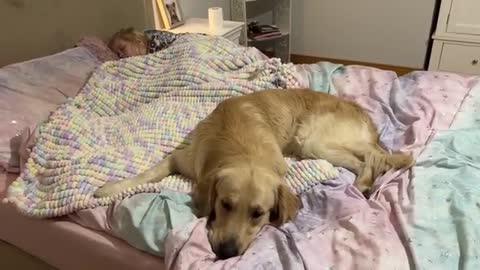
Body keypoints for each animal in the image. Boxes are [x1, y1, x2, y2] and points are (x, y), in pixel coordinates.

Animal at [94, 88, 412, 260]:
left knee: (374, 156)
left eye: (259, 214)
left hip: (315, 140)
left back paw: (367, 182)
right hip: (316, 144)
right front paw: (110, 188)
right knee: (372, 158)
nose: (226, 252)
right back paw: (367, 183)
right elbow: (148, 172)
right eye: (224, 204)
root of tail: (368, 121)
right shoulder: (180, 158)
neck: (240, 145)